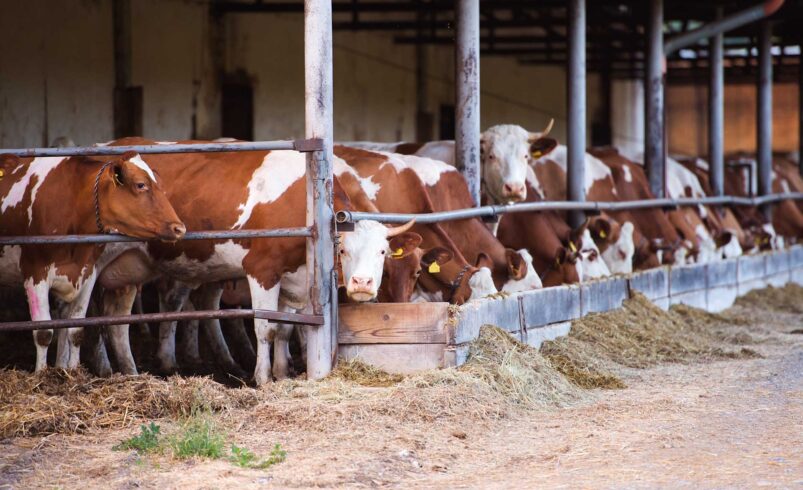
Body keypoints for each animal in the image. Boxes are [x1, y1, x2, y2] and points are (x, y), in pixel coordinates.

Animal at [0, 151, 185, 370]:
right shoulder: (34, 274)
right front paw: (41, 373)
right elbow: (43, 332)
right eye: (140, 185)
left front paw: (73, 371)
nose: (179, 228)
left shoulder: (88, 273)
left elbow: (76, 330)